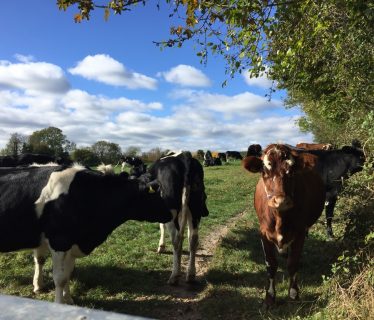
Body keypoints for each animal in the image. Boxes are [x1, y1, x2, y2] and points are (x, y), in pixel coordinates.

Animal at [0, 164, 172, 304]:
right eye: (154, 194)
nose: (170, 214)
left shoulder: (72, 242)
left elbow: (68, 274)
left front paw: (69, 299)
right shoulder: (59, 241)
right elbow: (60, 278)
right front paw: (59, 303)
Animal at [145, 151, 209, 284]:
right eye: (205, 197)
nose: (206, 212)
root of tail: (184, 156)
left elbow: (162, 226)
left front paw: (161, 246)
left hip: (172, 209)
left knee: (176, 239)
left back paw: (174, 275)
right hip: (194, 208)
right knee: (193, 238)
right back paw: (190, 274)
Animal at [243, 144, 324, 304]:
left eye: (291, 172)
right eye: (264, 171)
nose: (281, 201)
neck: (280, 218)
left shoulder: (299, 232)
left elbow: (293, 264)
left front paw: (293, 293)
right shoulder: (263, 233)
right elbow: (271, 264)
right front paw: (270, 296)